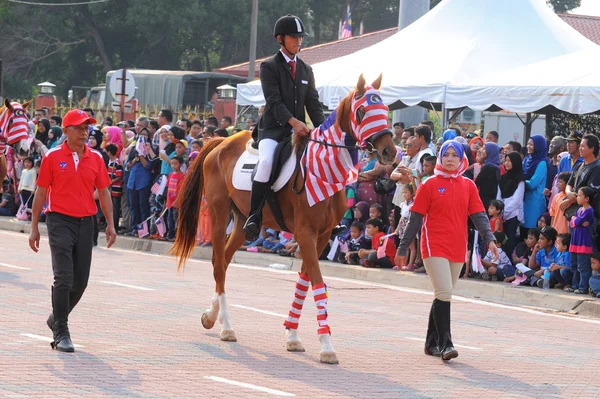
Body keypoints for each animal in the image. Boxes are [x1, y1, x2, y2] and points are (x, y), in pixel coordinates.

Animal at [172, 73, 398, 364]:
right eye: (361, 111)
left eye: (385, 109)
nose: (389, 152)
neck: (322, 171)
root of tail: (220, 143)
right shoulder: (305, 232)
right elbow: (318, 283)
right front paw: (326, 346)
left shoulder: (321, 235)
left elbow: (304, 281)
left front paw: (292, 337)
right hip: (219, 213)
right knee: (219, 264)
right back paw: (226, 327)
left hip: (243, 222)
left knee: (222, 261)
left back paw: (212, 316)